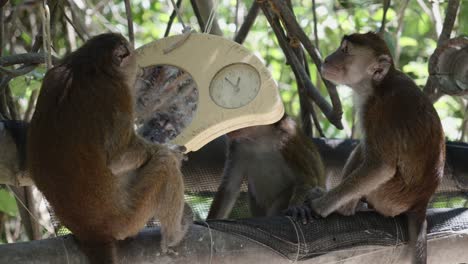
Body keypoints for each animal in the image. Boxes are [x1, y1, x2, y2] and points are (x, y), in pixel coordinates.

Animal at [27, 33, 192, 264]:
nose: (140, 69)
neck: (85, 67)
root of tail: (92, 234)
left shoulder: (53, 76)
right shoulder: (119, 94)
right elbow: (119, 158)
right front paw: (170, 150)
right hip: (129, 218)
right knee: (165, 165)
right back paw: (174, 236)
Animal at [286, 31, 446, 264]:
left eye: (345, 50)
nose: (327, 59)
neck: (379, 84)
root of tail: (421, 203)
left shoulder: (377, 112)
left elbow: (381, 166)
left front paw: (319, 206)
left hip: (390, 197)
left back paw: (346, 209)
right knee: (363, 148)